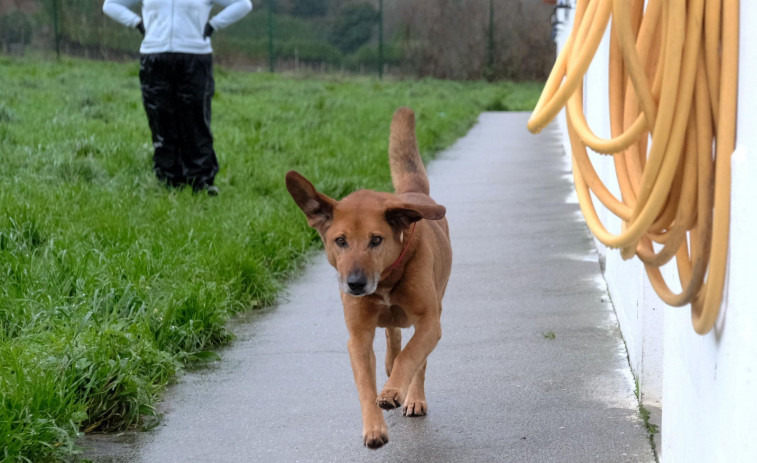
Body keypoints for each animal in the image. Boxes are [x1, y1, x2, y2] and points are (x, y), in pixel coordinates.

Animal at [284, 106, 448, 450]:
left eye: (376, 240)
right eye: (340, 241)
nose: (355, 284)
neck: (386, 280)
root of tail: (411, 194)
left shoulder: (429, 322)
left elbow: (412, 357)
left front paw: (394, 391)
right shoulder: (358, 337)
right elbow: (365, 383)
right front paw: (374, 428)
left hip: (436, 307)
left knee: (417, 357)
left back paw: (413, 396)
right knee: (393, 334)